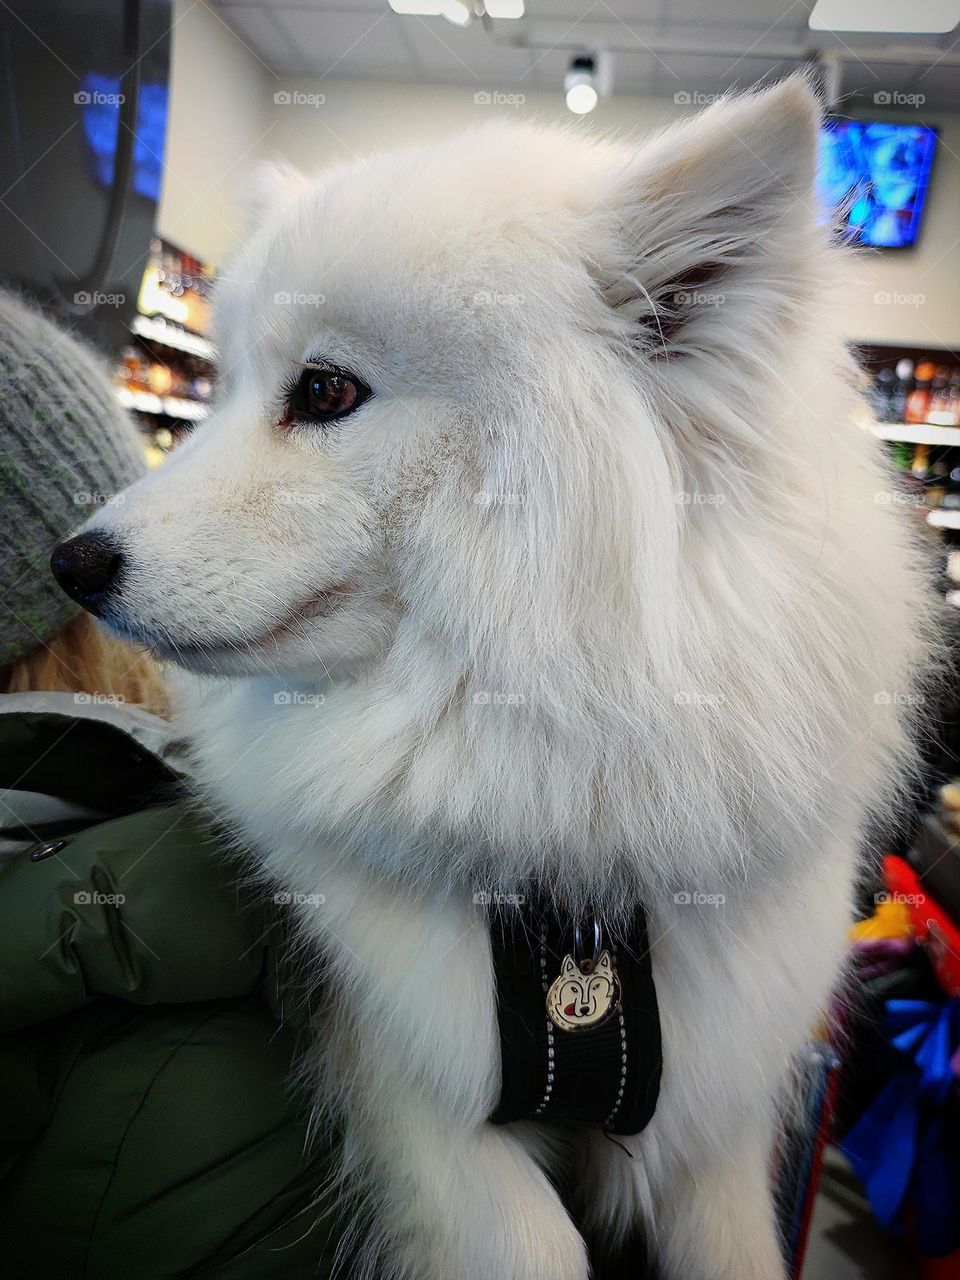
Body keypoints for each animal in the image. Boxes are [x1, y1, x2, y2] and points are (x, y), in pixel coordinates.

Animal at [54, 77, 931, 1280]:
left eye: (322, 389)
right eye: (220, 389)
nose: (72, 562)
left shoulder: (715, 1107)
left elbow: (734, 1247)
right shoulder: (408, 1077)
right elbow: (536, 1245)